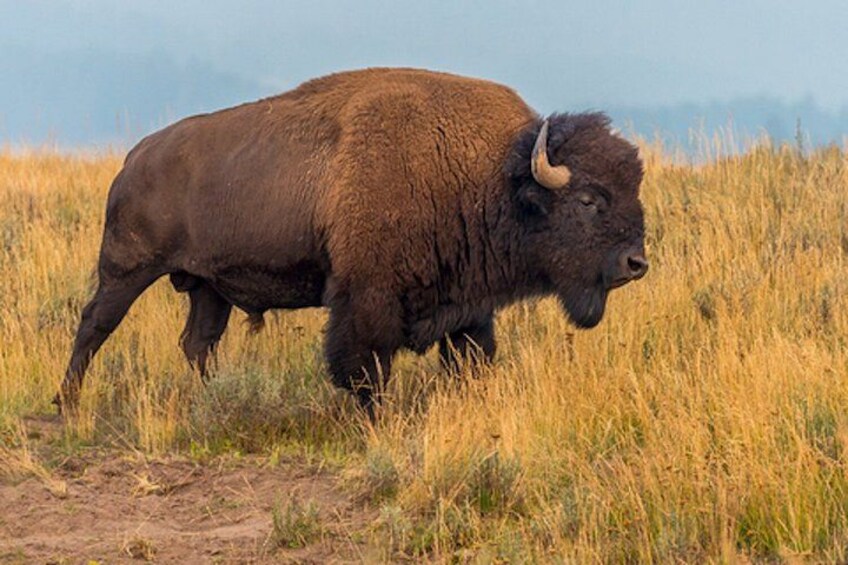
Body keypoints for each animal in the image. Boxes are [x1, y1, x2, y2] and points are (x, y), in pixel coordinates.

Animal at [57, 68, 648, 414]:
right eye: (589, 199)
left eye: (632, 188)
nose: (635, 263)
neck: (490, 173)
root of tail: (134, 158)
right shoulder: (366, 297)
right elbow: (365, 366)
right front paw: (375, 419)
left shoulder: (468, 304)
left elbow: (470, 357)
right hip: (126, 269)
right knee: (94, 325)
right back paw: (66, 402)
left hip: (207, 287)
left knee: (197, 344)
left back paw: (213, 400)